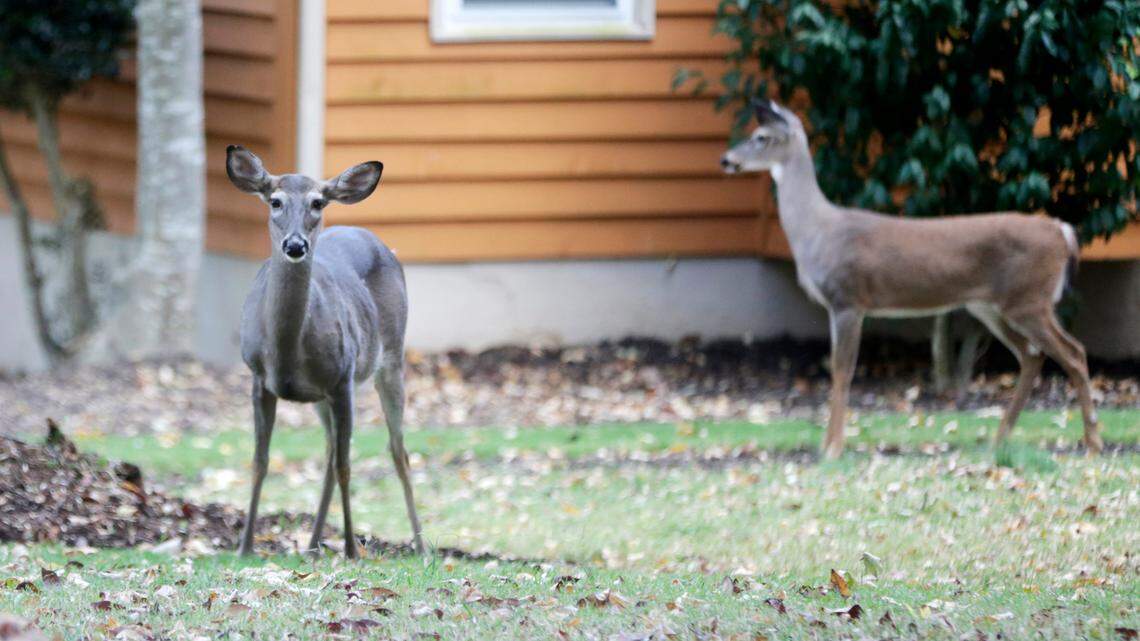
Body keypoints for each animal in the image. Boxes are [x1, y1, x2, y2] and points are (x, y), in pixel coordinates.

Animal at [225, 145, 425, 558]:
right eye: (275, 201)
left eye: (317, 202)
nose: (295, 245)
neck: (285, 350)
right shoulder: (258, 379)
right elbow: (259, 461)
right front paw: (244, 546)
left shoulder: (343, 379)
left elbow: (347, 466)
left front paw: (351, 549)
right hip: (319, 397)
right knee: (332, 449)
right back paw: (313, 543)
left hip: (391, 357)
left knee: (396, 450)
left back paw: (421, 546)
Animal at [721, 100, 1103, 460]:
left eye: (761, 137)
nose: (726, 160)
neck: (817, 231)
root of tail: (1061, 230)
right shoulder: (835, 306)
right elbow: (836, 370)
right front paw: (826, 446)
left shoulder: (849, 299)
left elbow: (843, 371)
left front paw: (833, 449)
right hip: (992, 306)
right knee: (1032, 355)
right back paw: (1000, 441)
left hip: (1029, 300)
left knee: (1073, 353)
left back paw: (1092, 443)